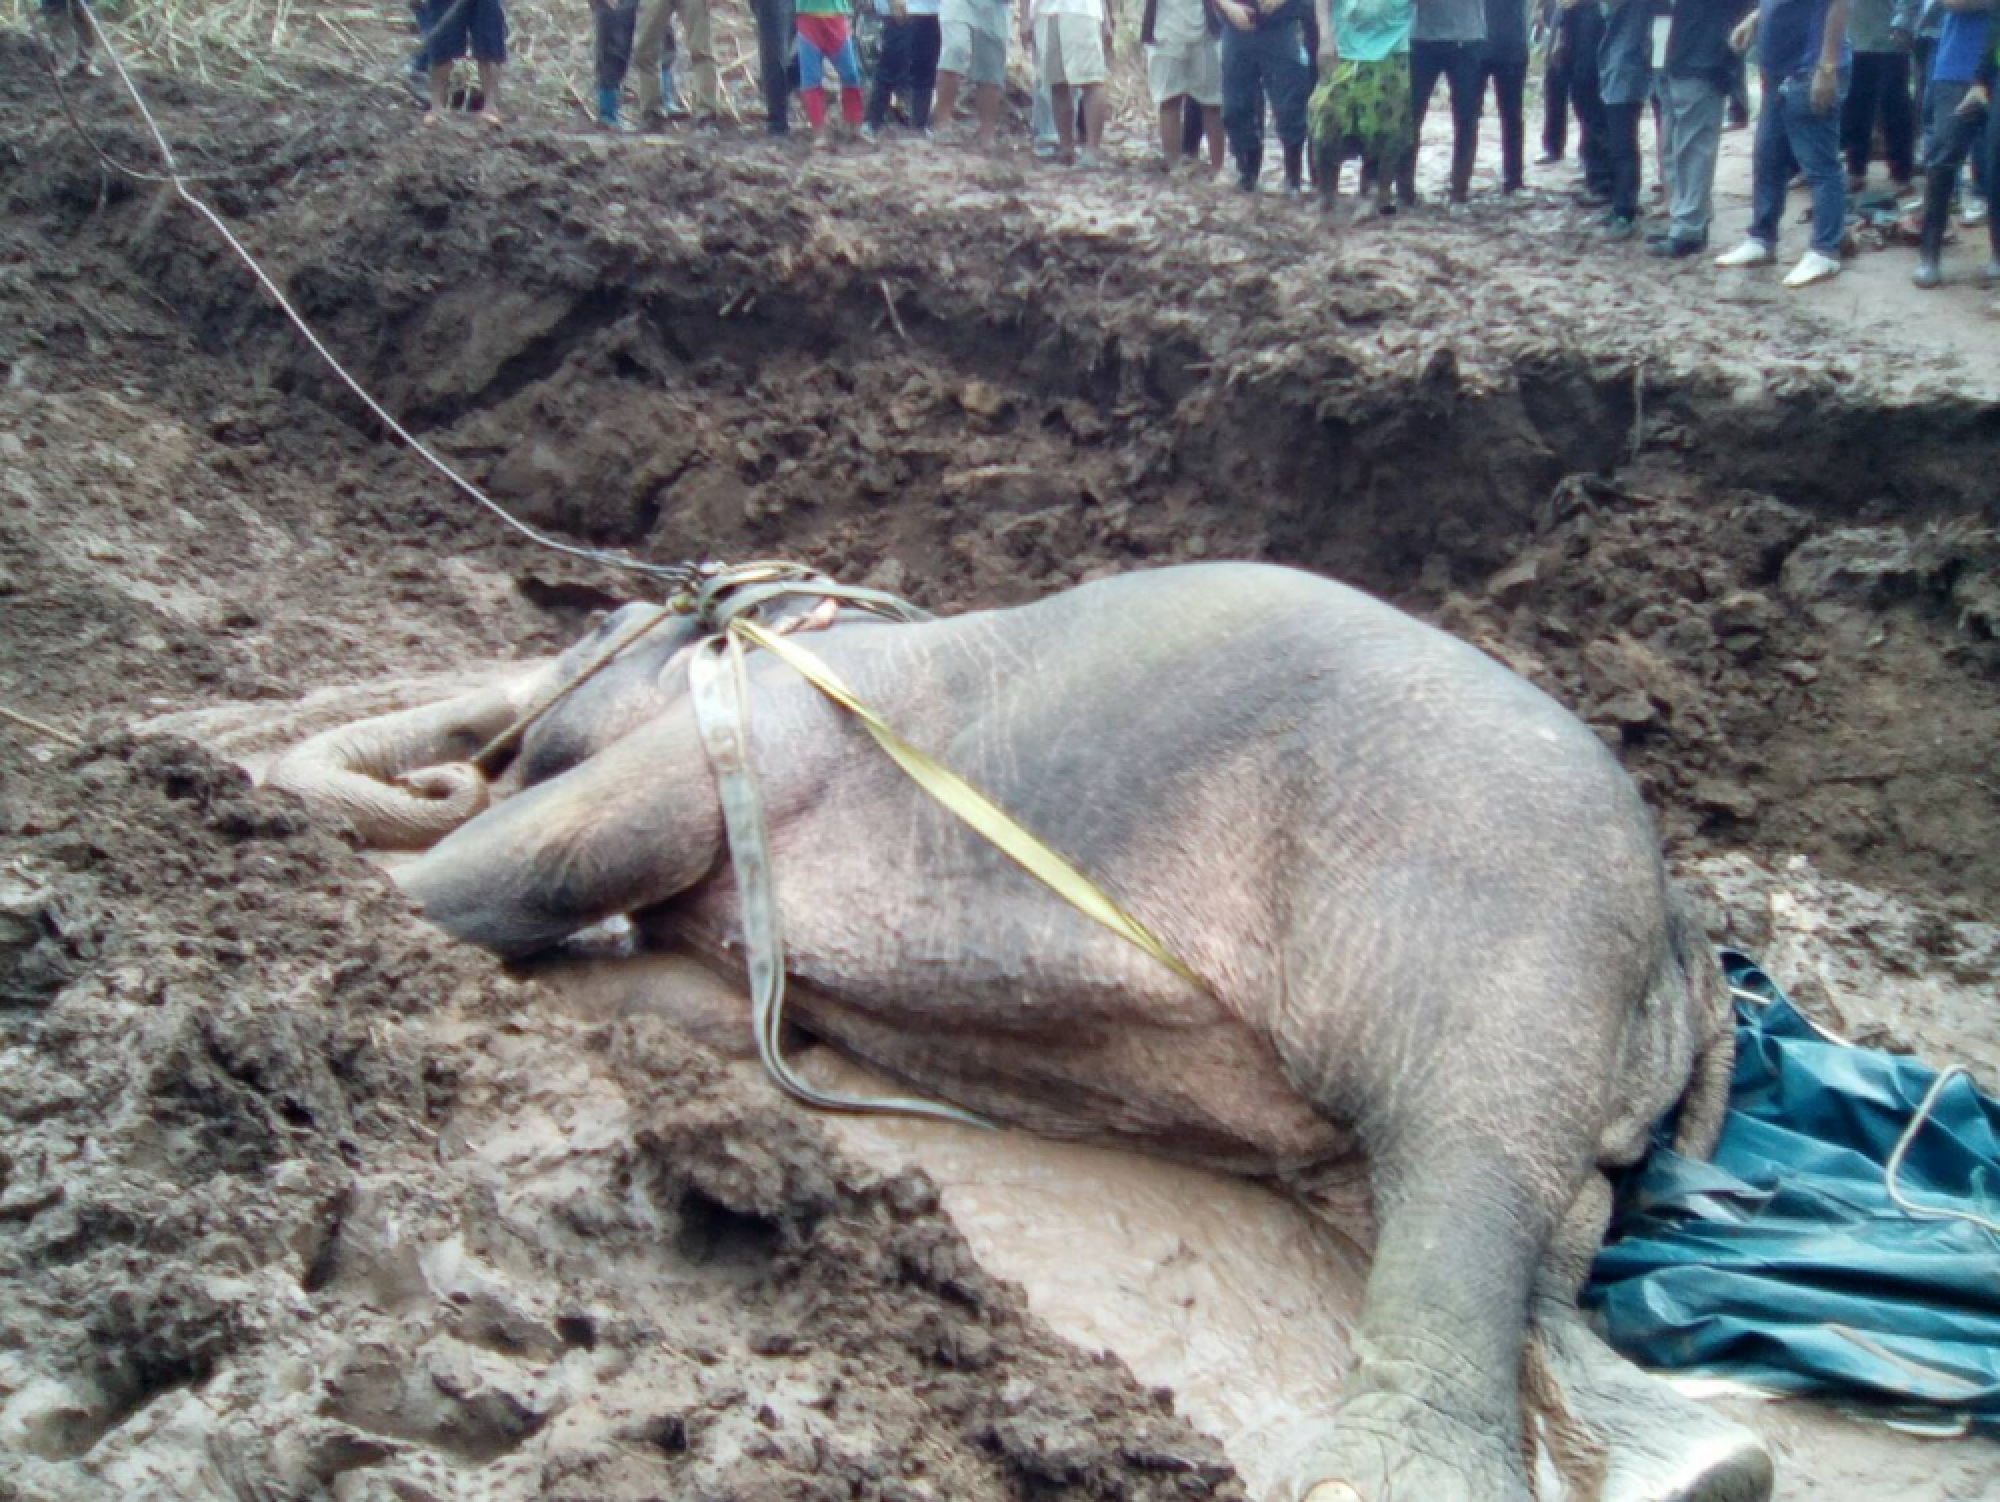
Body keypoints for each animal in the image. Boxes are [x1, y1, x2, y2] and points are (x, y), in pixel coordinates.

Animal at [264, 560, 1776, 1502]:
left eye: (590, 635)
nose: (478, 753)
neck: (774, 621)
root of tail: (1690, 939)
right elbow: (700, 999)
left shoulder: (752, 730)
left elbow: (556, 853)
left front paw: (349, 886)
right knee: (1532, 1238)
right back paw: (1706, 1467)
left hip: (1500, 918)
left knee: (1464, 1173)